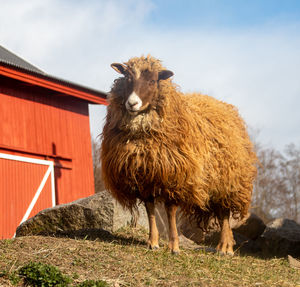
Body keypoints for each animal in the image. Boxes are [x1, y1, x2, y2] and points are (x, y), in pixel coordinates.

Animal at [101, 55, 258, 255]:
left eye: (153, 81)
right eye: (127, 78)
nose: (132, 103)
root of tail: (225, 107)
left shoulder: (175, 178)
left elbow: (170, 212)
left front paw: (174, 246)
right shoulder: (145, 178)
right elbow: (150, 209)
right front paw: (153, 242)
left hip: (227, 181)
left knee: (224, 214)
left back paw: (224, 247)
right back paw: (226, 245)